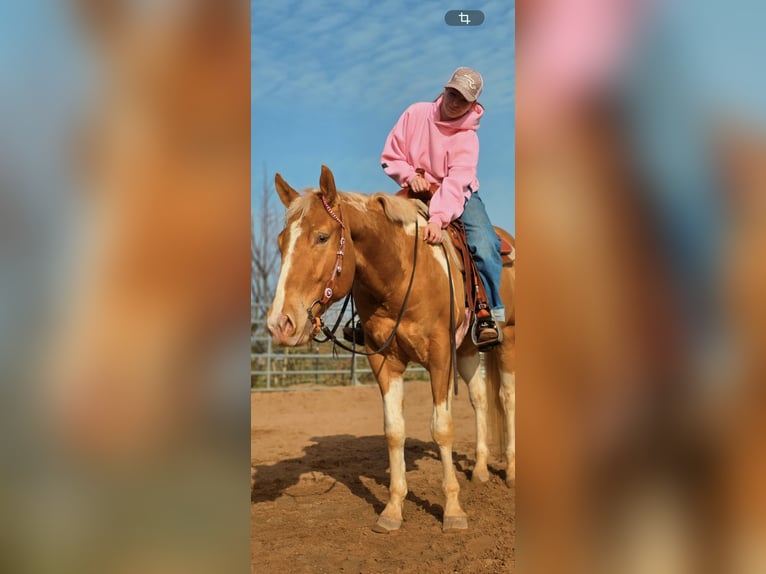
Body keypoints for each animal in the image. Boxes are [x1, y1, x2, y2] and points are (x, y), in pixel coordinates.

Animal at [267, 165, 515, 532]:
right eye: (281, 241)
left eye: (322, 237)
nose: (279, 324)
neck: (400, 276)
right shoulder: (383, 361)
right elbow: (394, 430)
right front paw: (393, 509)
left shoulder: (440, 357)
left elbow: (442, 428)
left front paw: (453, 511)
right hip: (469, 351)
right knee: (480, 399)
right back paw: (481, 470)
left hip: (507, 341)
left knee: (507, 398)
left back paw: (510, 471)